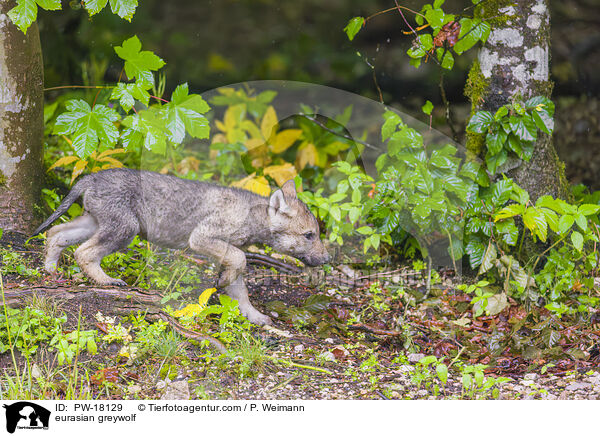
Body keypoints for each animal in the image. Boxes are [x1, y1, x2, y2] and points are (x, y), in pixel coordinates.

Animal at [34, 169, 330, 326]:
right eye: (309, 235)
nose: (327, 259)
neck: (250, 216)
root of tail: (91, 178)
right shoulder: (202, 239)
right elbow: (241, 261)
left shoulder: (225, 253)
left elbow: (240, 291)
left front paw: (255, 316)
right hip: (124, 230)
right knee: (82, 252)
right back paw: (107, 281)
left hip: (94, 222)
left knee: (55, 233)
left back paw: (50, 270)